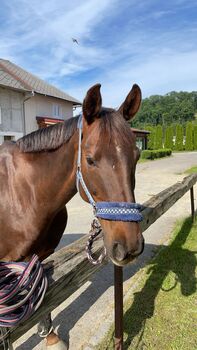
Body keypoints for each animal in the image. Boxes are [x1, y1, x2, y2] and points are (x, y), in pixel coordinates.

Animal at [0, 83, 143, 348]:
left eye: (137, 156)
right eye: (90, 160)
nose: (129, 246)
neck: (23, 193)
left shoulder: (42, 255)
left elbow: (43, 294)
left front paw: (50, 336)